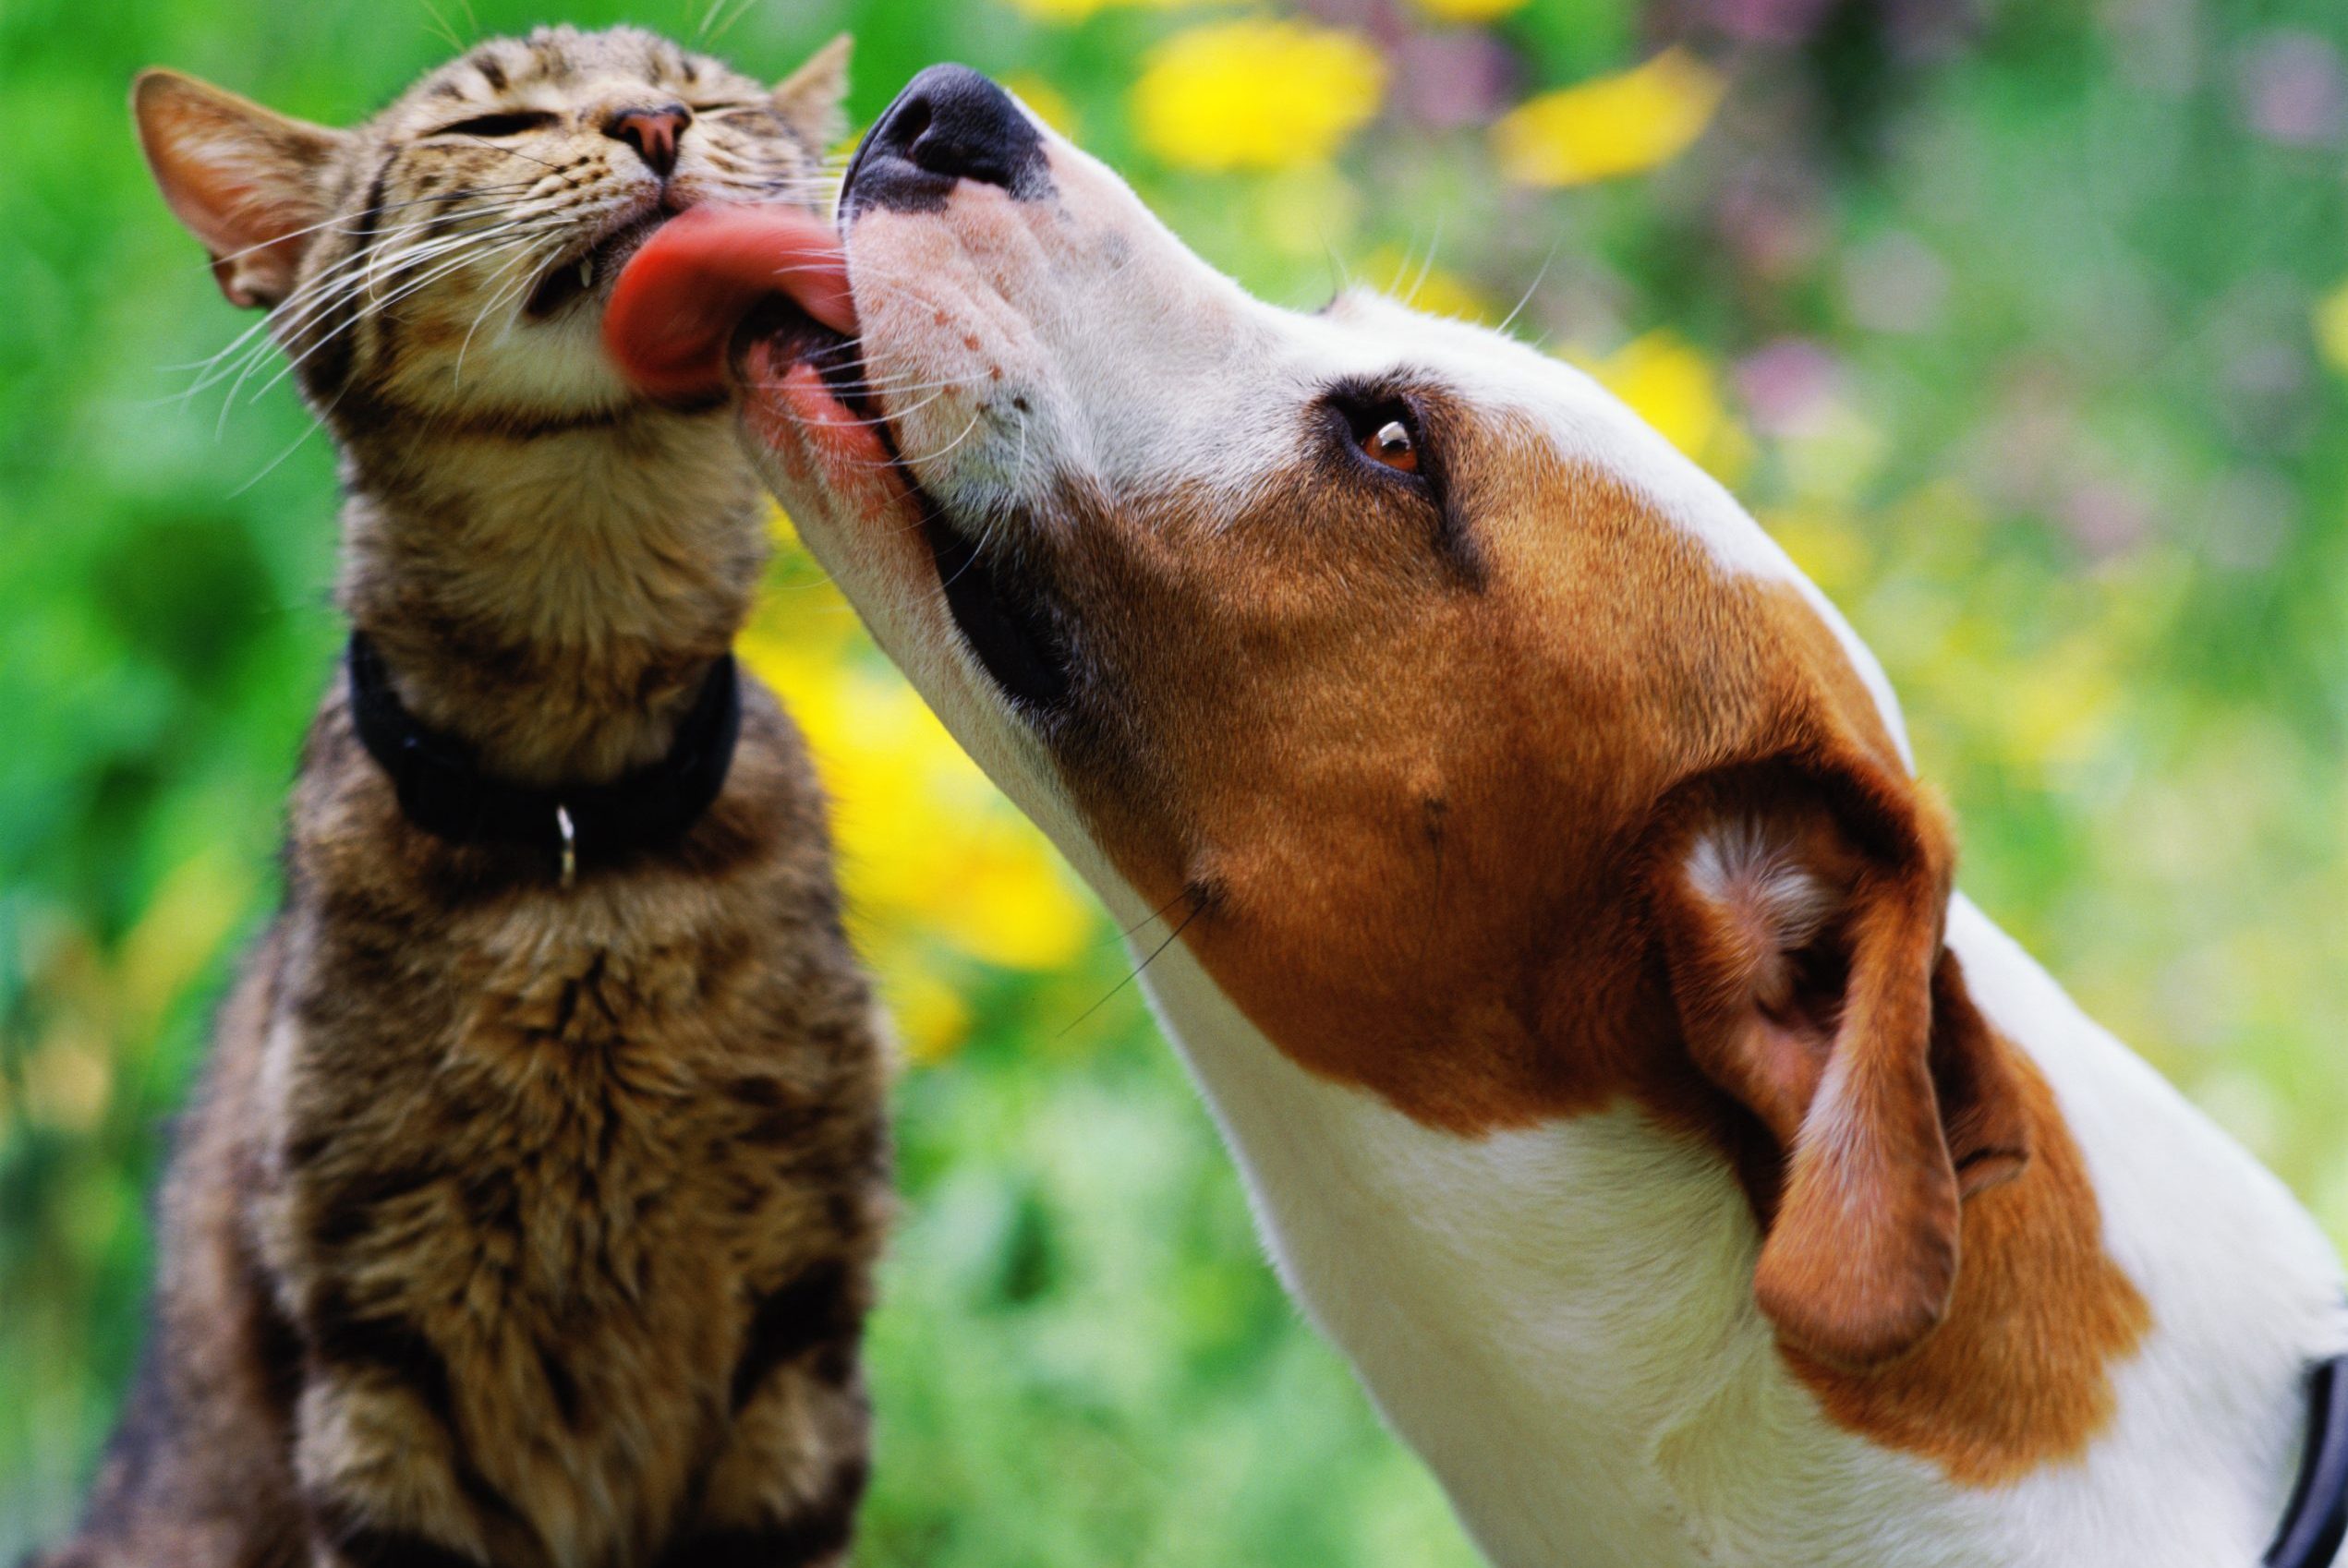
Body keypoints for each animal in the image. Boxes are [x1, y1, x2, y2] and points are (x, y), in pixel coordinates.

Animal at [39, 24, 897, 1568]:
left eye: (709, 94)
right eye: (493, 126)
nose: (652, 120)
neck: (575, 847)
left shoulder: (802, 1326)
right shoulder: (378, 1349)